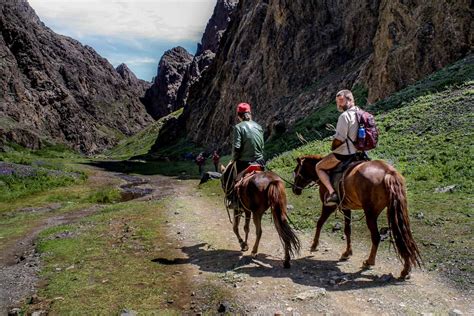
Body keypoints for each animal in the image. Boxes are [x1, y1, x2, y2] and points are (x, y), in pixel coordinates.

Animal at [292, 154, 422, 278]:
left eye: (296, 170)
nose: (294, 189)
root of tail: (389, 173)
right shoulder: (346, 207)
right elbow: (347, 230)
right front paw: (347, 253)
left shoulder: (329, 206)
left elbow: (320, 223)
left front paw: (314, 245)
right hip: (397, 211)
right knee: (404, 237)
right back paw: (405, 270)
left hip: (371, 214)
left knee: (376, 237)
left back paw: (369, 262)